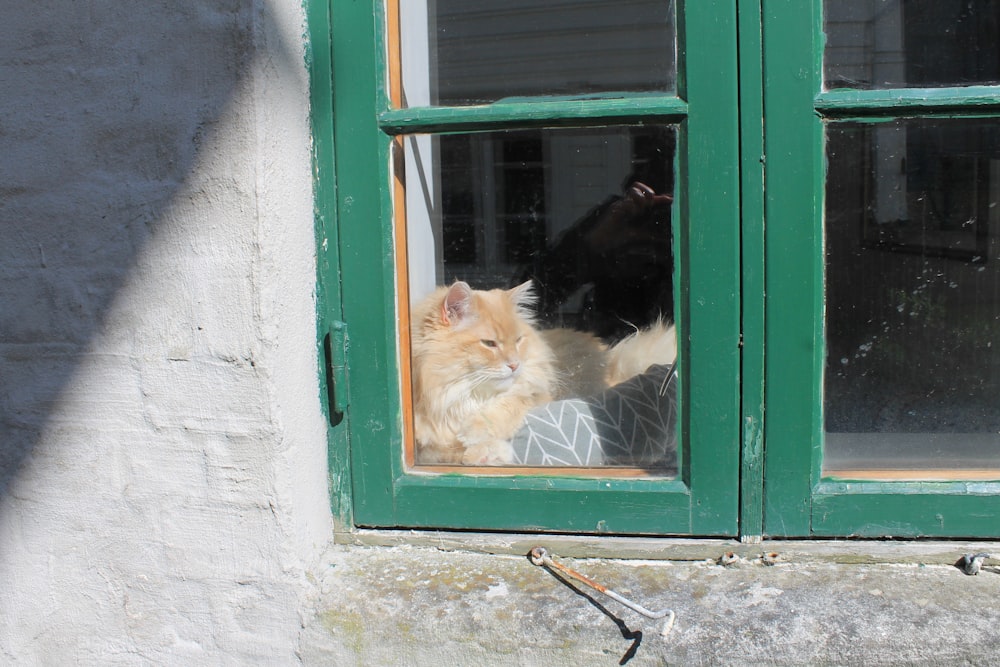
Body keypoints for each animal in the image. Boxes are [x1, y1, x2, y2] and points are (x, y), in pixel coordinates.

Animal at [410, 280, 676, 464]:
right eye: (489, 344)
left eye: (518, 341)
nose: (515, 365)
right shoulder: (428, 445)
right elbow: (451, 453)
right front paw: (483, 452)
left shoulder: (533, 393)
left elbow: (504, 408)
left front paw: (479, 437)